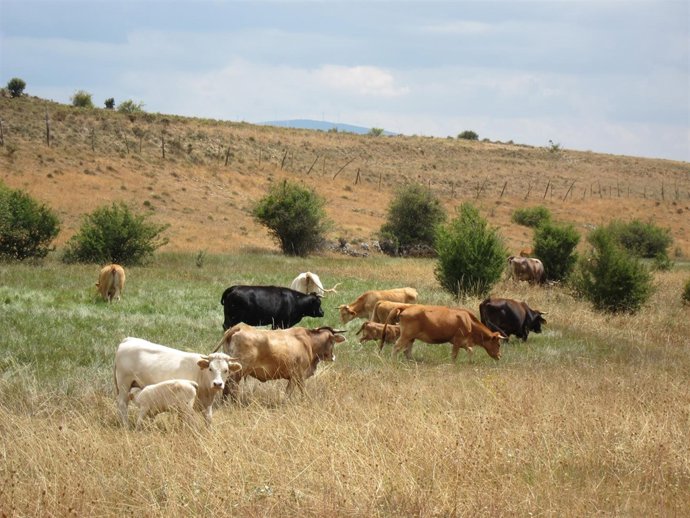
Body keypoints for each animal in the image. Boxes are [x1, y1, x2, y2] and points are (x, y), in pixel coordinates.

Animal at [114, 337, 242, 428]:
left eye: (226, 370)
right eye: (210, 368)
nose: (217, 384)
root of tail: (129, 340)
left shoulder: (207, 404)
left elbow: (208, 419)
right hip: (124, 384)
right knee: (122, 404)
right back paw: (126, 426)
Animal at [217, 325, 346, 400]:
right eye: (332, 342)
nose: (333, 357)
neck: (309, 341)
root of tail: (240, 326)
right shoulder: (297, 375)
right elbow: (298, 391)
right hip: (238, 371)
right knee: (231, 386)